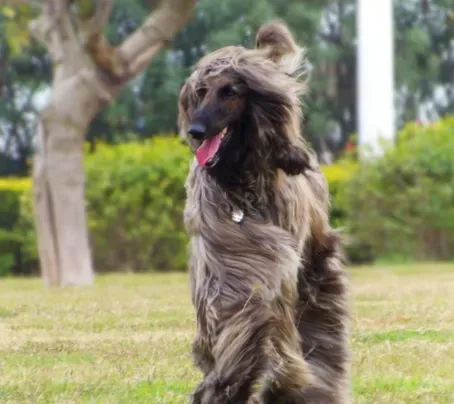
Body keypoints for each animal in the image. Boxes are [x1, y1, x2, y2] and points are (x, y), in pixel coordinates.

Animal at [178, 20, 352, 402]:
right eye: (201, 91)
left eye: (230, 92)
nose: (195, 131)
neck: (242, 182)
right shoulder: (228, 255)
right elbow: (236, 310)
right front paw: (227, 380)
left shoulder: (273, 260)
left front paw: (275, 383)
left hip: (314, 264)